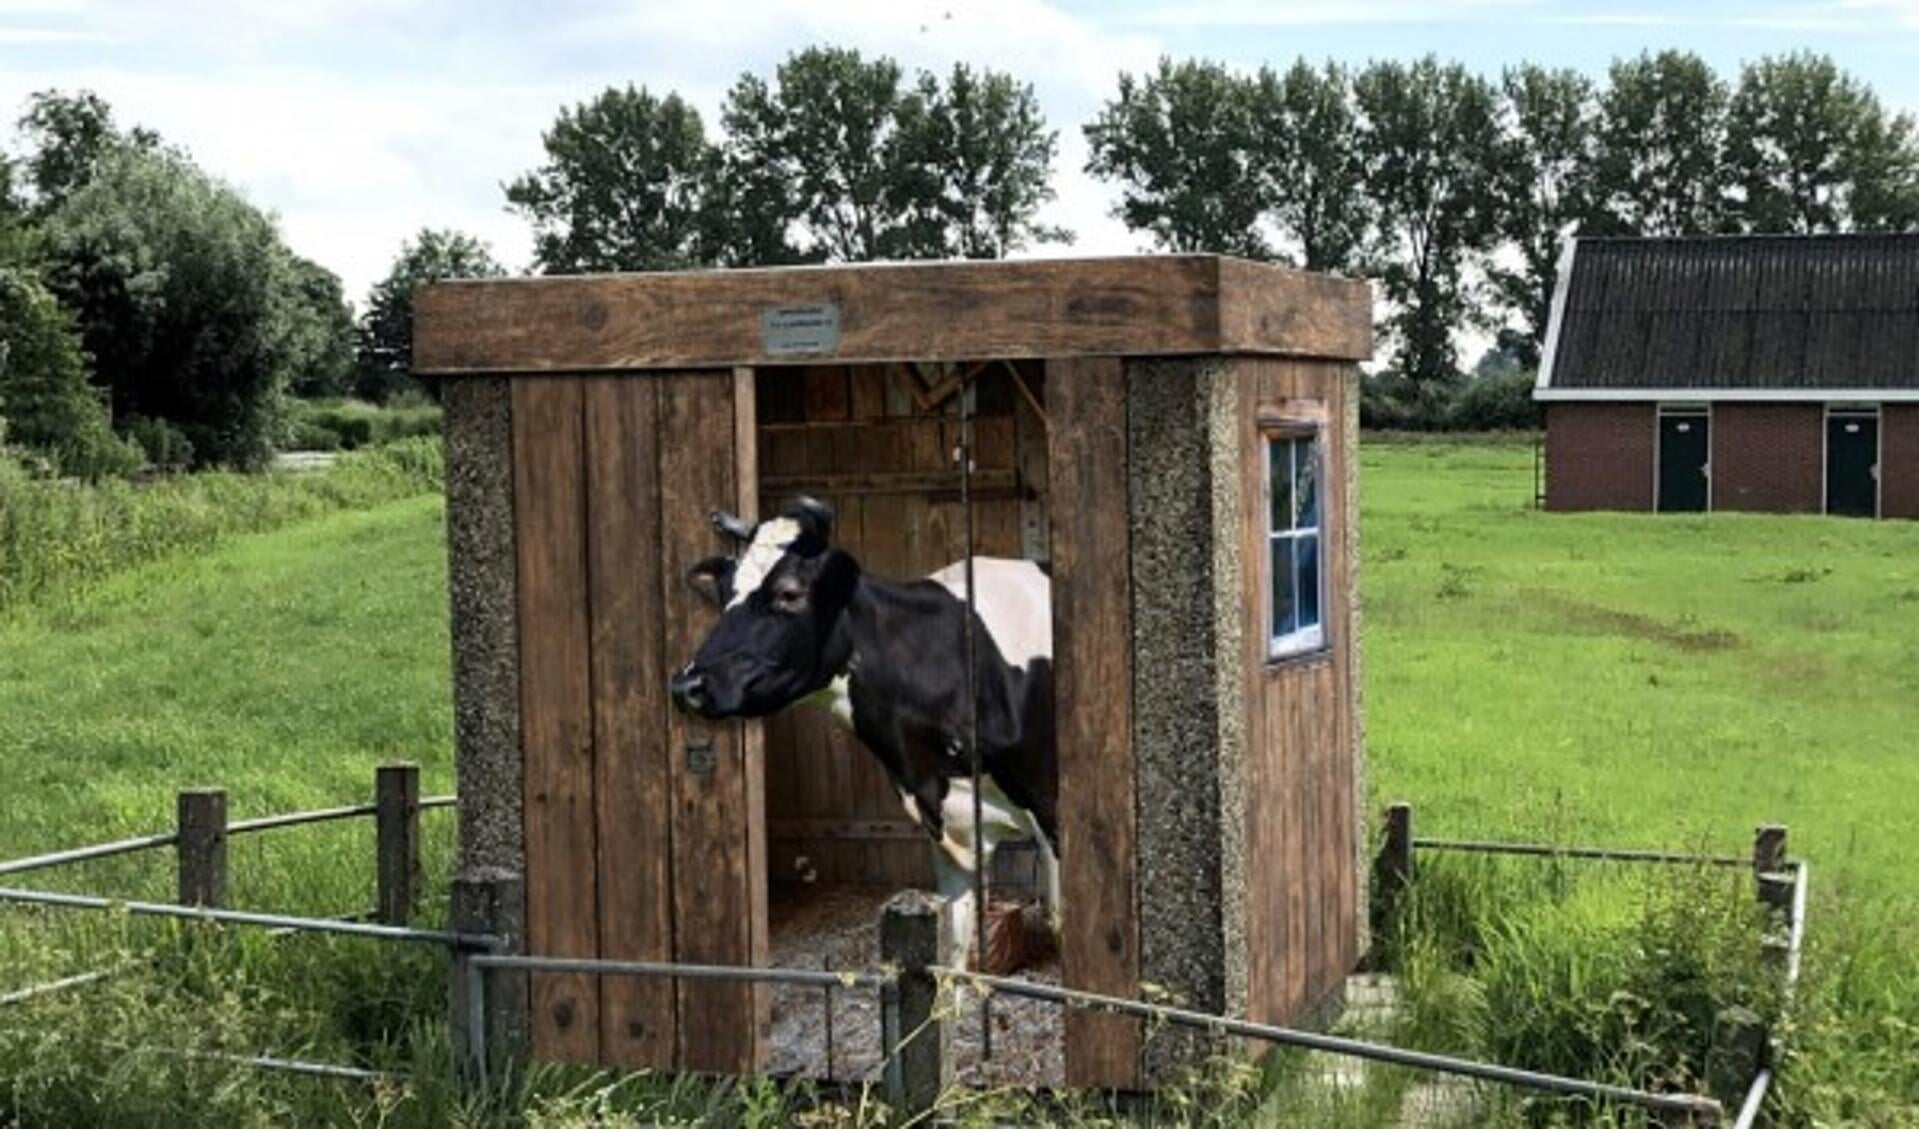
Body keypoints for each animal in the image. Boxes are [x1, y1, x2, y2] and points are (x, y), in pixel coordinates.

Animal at [667, 499, 1059, 967]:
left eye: (789, 594)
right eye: (725, 594)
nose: (688, 685)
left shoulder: (1054, 811)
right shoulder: (947, 826)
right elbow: (952, 960)